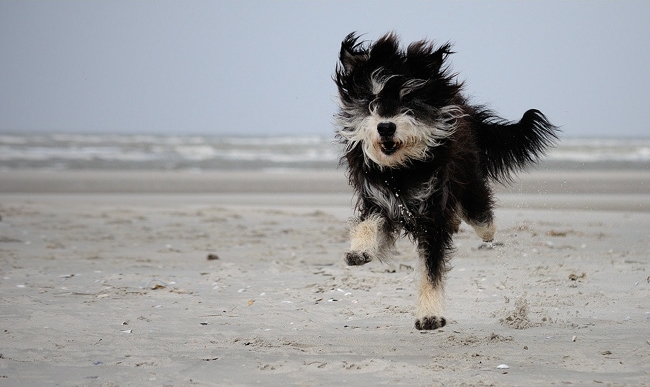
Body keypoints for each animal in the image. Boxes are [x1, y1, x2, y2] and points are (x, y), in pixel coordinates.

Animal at [334, 33, 556, 330]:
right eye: (371, 98)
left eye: (409, 98)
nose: (386, 127)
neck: (401, 169)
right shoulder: (378, 197)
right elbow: (368, 222)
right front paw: (359, 250)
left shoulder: (432, 214)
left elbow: (432, 269)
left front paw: (430, 315)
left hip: (470, 183)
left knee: (482, 219)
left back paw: (484, 228)